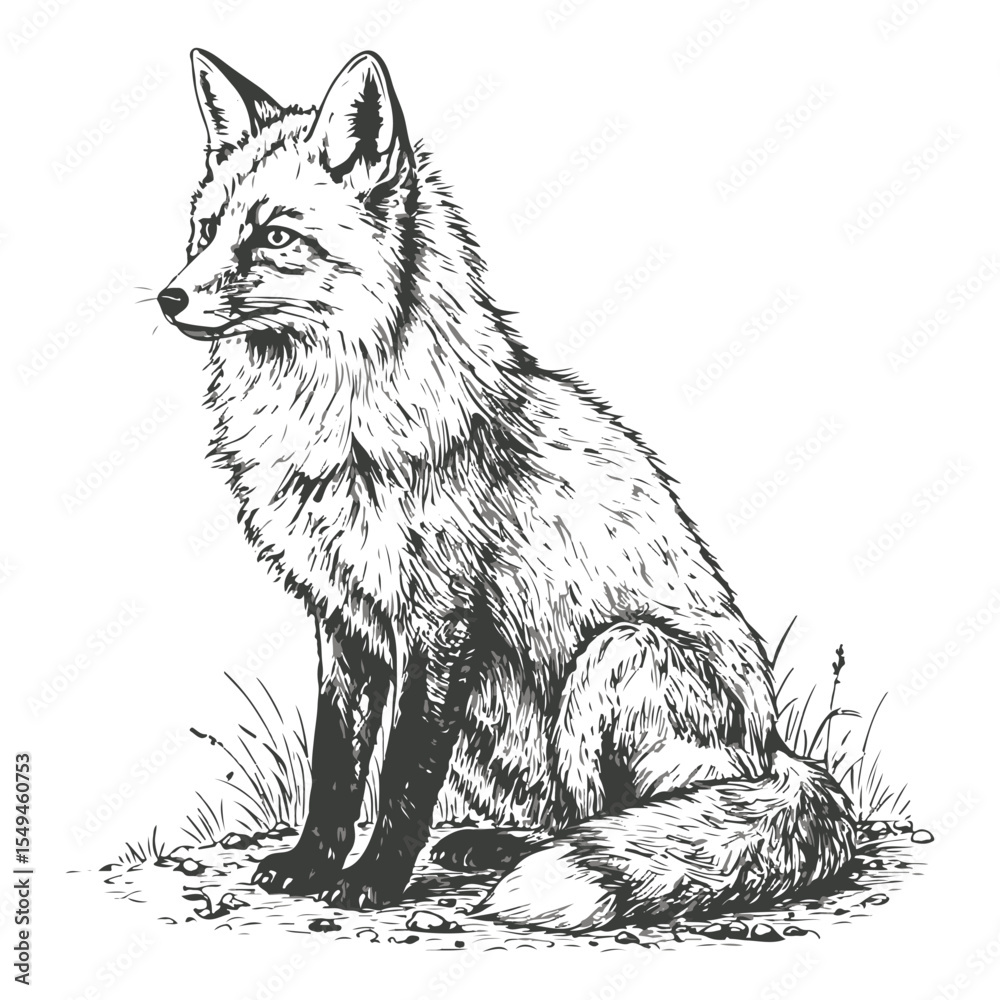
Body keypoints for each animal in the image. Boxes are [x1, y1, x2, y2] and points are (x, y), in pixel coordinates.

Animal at [157, 48, 856, 932]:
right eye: (205, 230)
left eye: (276, 236)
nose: (169, 297)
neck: (336, 437)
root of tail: (774, 754)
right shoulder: (346, 626)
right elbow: (335, 770)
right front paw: (312, 863)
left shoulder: (438, 623)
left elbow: (402, 777)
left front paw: (373, 878)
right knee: (562, 816)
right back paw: (493, 845)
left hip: (612, 659)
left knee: (609, 817)